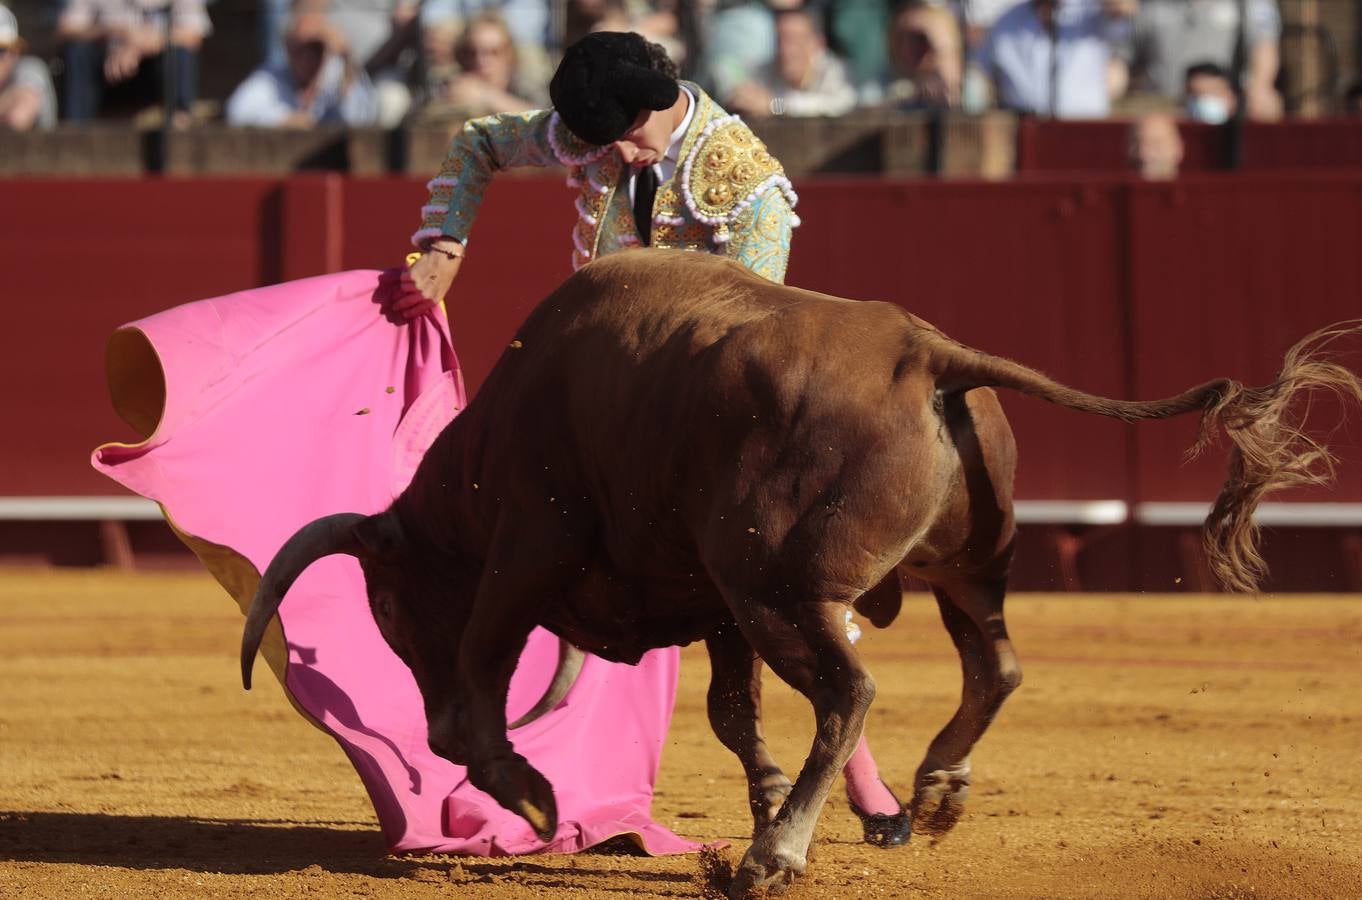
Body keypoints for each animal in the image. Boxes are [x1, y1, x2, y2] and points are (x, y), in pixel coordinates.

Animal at [239, 249, 1356, 893]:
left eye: (388, 606)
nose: (419, 726)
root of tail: (928, 353)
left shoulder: (532, 548)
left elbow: (482, 666)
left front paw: (535, 799)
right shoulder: (710, 603)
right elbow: (734, 713)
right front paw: (765, 798)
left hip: (783, 586)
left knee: (850, 690)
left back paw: (778, 858)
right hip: (958, 573)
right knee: (992, 667)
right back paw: (929, 796)